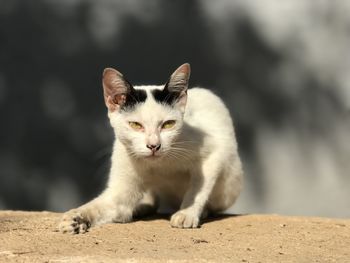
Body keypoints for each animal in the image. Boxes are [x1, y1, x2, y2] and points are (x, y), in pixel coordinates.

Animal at [58, 64, 242, 235]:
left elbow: (198, 188)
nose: (154, 145)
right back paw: (138, 207)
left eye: (168, 124)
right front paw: (75, 217)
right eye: (135, 124)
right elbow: (101, 204)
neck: (160, 165)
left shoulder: (214, 152)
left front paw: (187, 212)